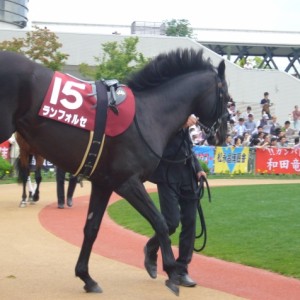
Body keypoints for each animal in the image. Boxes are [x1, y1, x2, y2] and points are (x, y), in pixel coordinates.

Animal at [0, 48, 230, 294]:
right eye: (226, 97)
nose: (223, 135)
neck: (149, 114)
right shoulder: (127, 182)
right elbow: (159, 221)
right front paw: (171, 271)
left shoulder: (103, 183)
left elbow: (92, 228)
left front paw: (86, 277)